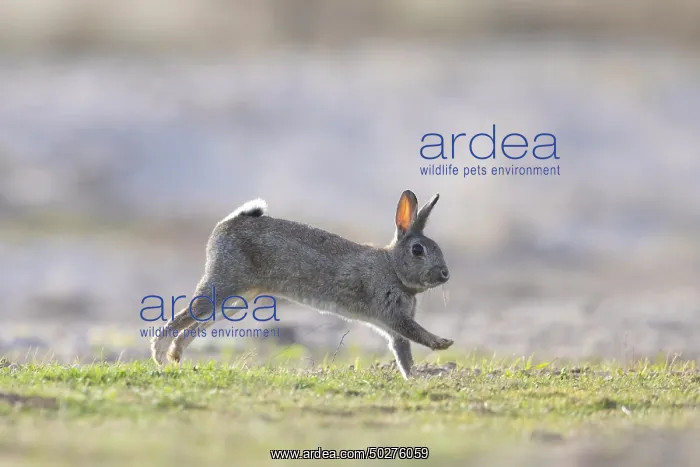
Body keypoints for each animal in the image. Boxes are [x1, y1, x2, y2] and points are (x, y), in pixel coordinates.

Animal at [151, 190, 453, 379]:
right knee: (184, 316)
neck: (392, 267)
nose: (445, 274)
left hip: (237, 300)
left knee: (195, 325)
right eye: (417, 250)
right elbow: (415, 333)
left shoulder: (393, 326)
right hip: (223, 285)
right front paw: (442, 343)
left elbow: (403, 352)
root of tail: (227, 224)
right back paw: (159, 355)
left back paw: (176, 355)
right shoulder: (392, 312)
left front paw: (414, 378)